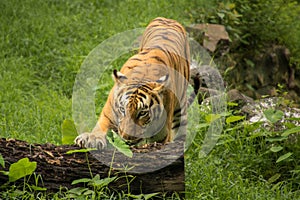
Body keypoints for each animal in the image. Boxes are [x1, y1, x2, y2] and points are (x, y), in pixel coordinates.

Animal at [76, 16, 191, 148]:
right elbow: (101, 127)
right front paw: (91, 138)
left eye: (142, 113)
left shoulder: (162, 135)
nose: (127, 139)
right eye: (122, 109)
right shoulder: (108, 114)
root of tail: (167, 19)